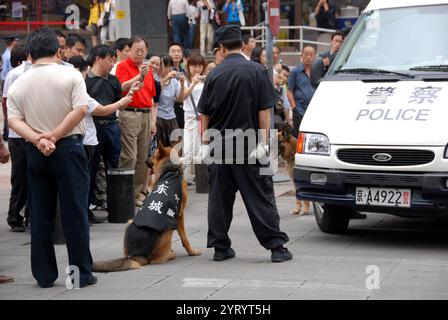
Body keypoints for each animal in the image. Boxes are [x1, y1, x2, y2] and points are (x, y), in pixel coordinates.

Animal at [93, 141, 201, 272]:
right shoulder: (180, 216)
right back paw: (169, 254)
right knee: (157, 259)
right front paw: (192, 252)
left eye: (153, 155)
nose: (145, 159)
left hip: (129, 222)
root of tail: (135, 254)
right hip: (168, 230)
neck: (170, 170)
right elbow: (185, 238)